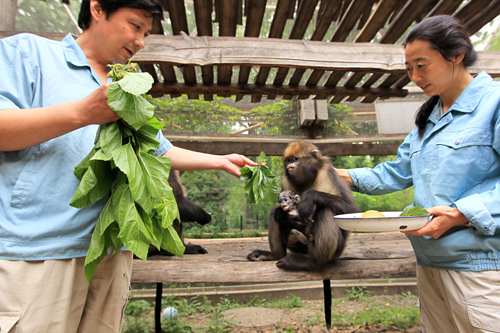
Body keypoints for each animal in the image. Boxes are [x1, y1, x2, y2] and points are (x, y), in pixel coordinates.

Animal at [247, 140, 360, 270]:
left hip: (333, 251)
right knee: (274, 212)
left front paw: (309, 197)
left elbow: (351, 209)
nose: (290, 166)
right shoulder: (286, 179)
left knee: (327, 210)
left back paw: (313, 261)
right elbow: (279, 211)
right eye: (289, 160)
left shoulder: (327, 171)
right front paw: (283, 216)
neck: (307, 178)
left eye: (295, 159)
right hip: (298, 247)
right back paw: (275, 254)